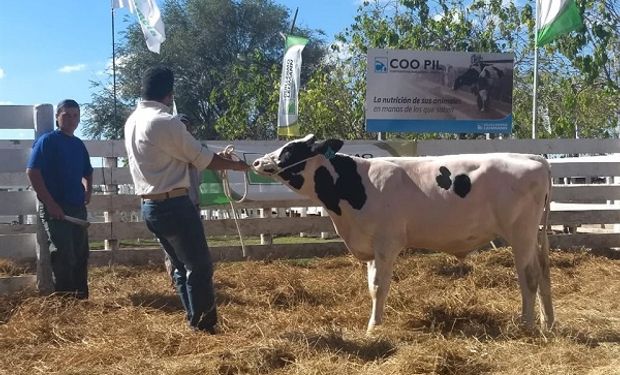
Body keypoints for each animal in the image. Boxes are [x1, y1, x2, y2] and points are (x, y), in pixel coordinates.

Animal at [253, 135, 556, 334]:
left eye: (292, 149)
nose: (256, 161)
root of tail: (533, 158)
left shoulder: (387, 243)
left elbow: (379, 286)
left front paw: (373, 327)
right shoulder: (370, 247)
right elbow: (371, 287)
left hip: (521, 233)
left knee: (529, 276)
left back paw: (526, 325)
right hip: (532, 236)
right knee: (542, 272)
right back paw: (547, 322)